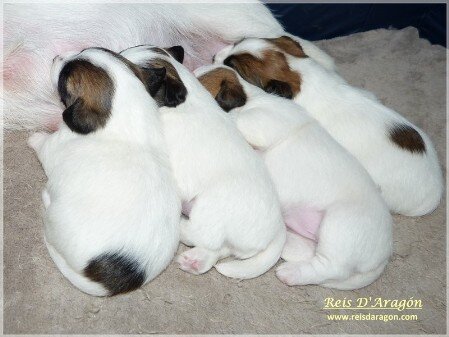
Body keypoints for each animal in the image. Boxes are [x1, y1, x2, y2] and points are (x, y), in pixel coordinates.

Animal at [26, 46, 179, 294]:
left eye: (63, 77)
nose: (56, 56)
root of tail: (108, 283)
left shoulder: (54, 146)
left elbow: (42, 143)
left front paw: (34, 137)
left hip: (53, 218)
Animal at [195, 65, 392, 288]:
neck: (252, 99)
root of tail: (384, 257)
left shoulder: (258, 123)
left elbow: (237, 119)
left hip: (340, 225)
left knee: (330, 267)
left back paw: (291, 273)